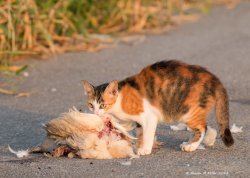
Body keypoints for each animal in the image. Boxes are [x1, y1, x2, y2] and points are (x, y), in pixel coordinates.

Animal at [82, 59, 234, 154]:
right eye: (91, 105)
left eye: (103, 105)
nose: (96, 113)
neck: (120, 100)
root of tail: (213, 78)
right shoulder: (138, 122)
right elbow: (140, 132)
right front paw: (138, 145)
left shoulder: (149, 116)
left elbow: (148, 133)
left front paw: (145, 149)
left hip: (188, 111)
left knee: (202, 127)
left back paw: (191, 146)